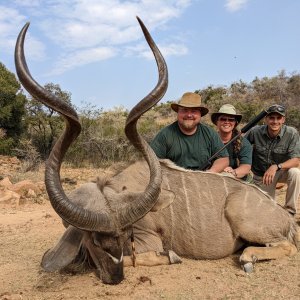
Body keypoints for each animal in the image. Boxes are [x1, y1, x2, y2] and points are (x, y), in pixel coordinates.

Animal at [14, 17, 298, 284]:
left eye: (126, 235)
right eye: (94, 240)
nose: (115, 278)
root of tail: (284, 217)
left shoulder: (147, 240)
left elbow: (140, 257)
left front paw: (171, 256)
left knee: (287, 246)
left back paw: (248, 257)